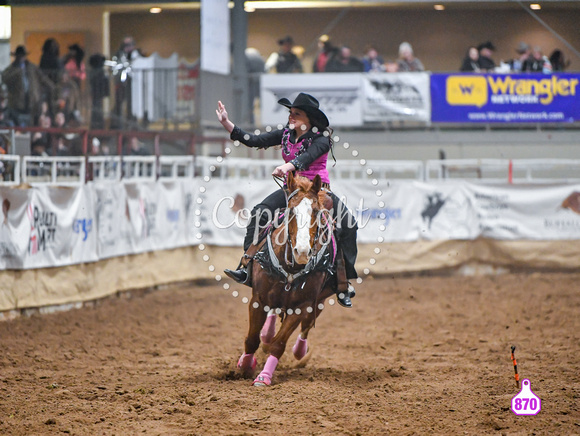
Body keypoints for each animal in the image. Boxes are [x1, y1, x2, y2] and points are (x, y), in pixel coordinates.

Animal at [236, 172, 336, 386]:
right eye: (291, 211)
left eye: (316, 212)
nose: (303, 251)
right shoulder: (258, 299)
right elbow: (252, 339)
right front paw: (245, 365)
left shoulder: (302, 305)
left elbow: (279, 344)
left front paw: (263, 377)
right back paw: (267, 334)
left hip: (319, 299)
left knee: (306, 326)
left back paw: (300, 351)